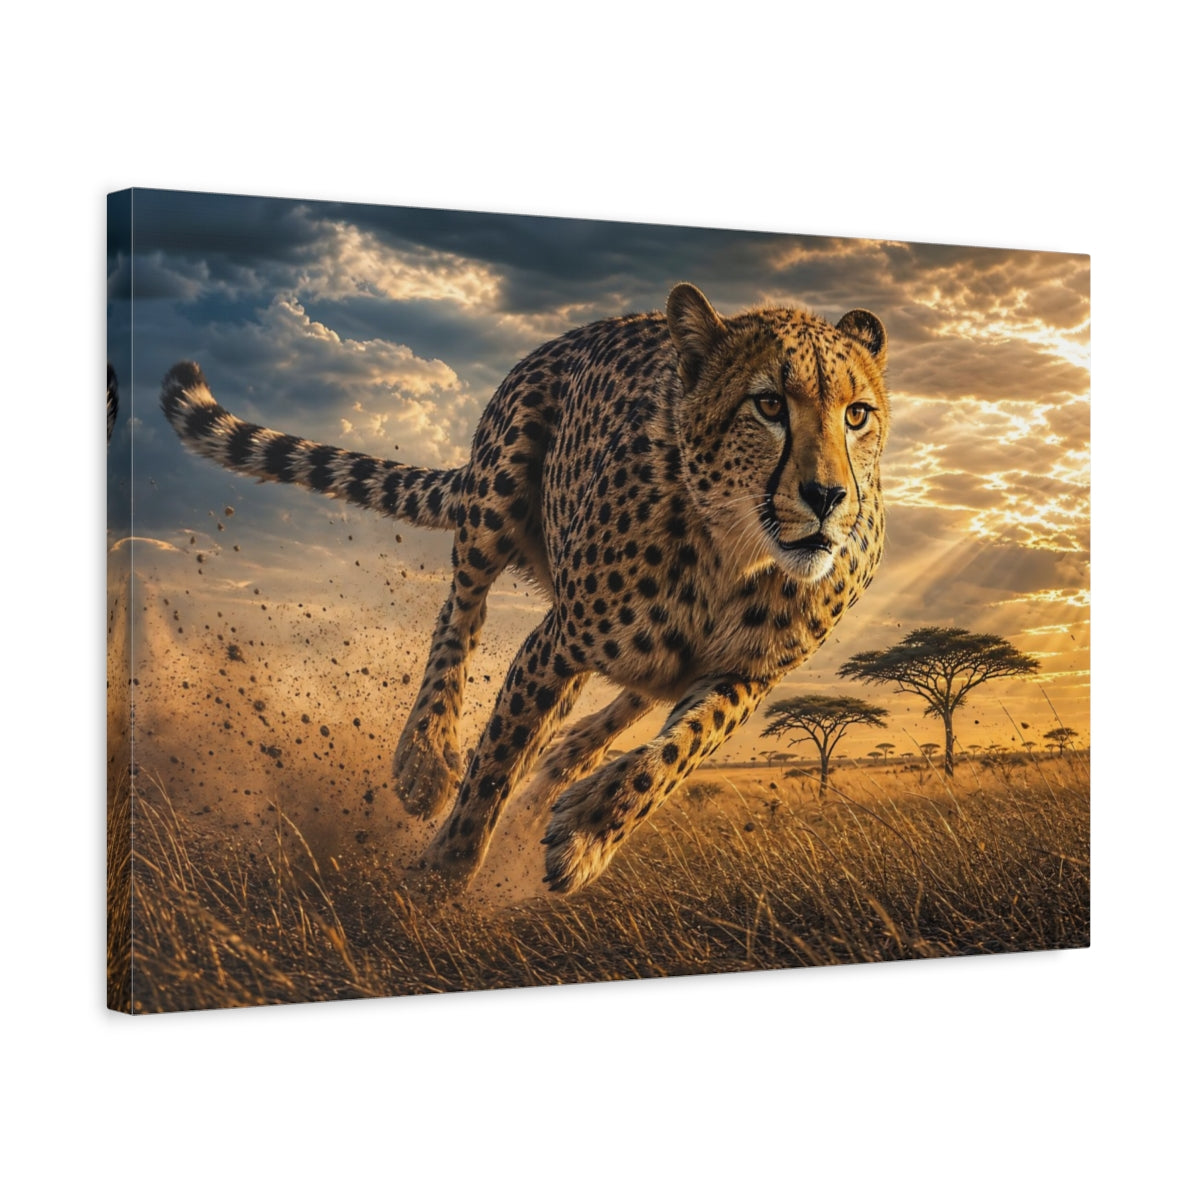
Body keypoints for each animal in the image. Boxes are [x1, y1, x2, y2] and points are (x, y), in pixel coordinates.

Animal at [160, 283, 890, 897]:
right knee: (461, 609)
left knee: (617, 707)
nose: (828, 497)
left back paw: (562, 776)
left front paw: (588, 832)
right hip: (499, 488)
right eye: (769, 405)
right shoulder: (558, 640)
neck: (736, 554)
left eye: (857, 415)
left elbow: (678, 752)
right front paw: (443, 873)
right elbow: (495, 759)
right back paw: (426, 758)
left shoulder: (749, 674)